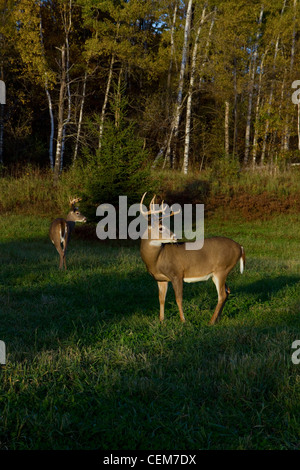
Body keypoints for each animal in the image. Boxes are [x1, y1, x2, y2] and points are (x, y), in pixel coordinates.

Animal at [139, 193, 245, 324]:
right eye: (160, 228)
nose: (175, 237)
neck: (157, 259)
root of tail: (240, 247)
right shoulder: (160, 279)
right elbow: (161, 299)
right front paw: (161, 321)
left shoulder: (177, 274)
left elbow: (178, 299)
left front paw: (183, 321)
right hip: (220, 272)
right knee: (227, 291)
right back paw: (217, 318)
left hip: (222, 269)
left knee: (222, 295)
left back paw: (211, 321)